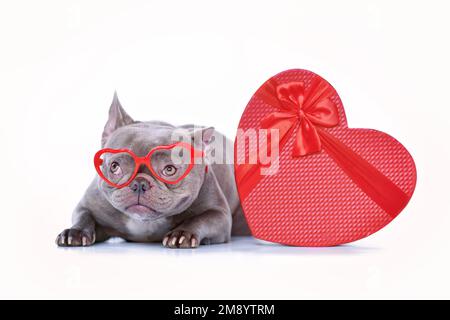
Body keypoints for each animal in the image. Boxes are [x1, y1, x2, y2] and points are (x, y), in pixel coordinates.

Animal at [55, 94, 250, 249]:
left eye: (169, 169)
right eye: (115, 166)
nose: (139, 183)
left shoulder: (219, 215)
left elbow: (201, 219)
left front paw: (182, 233)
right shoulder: (89, 203)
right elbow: (83, 215)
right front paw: (75, 232)